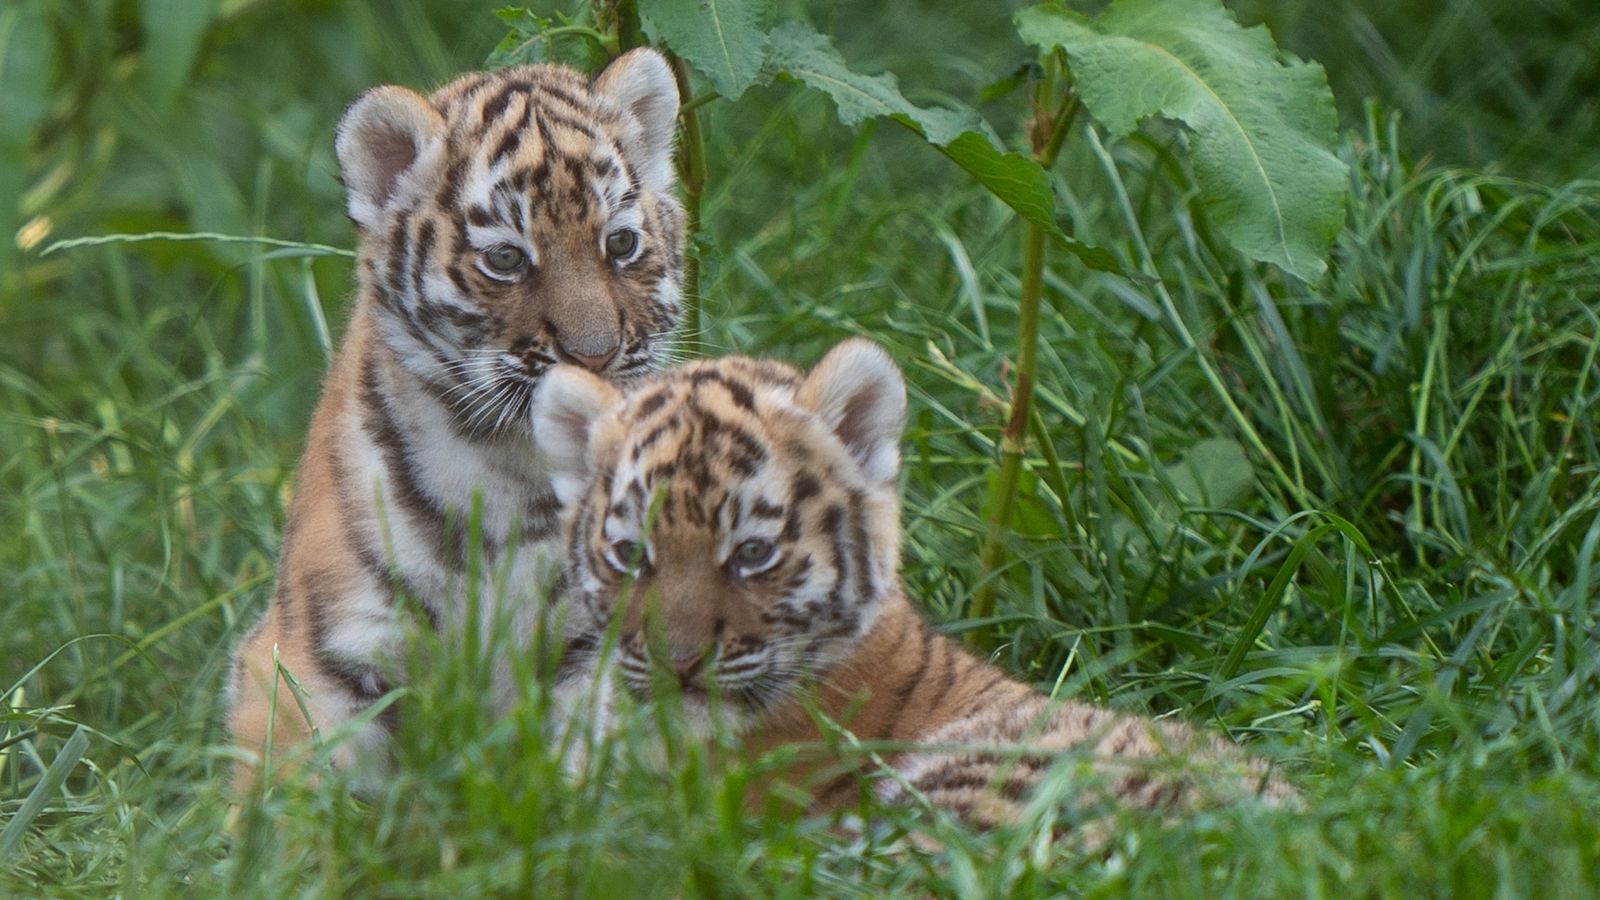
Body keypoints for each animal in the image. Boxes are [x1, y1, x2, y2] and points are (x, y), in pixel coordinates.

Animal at [225, 48, 684, 794]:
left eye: (619, 244)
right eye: (505, 258)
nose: (595, 356)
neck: (508, 462)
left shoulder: (600, 643)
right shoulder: (324, 656)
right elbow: (293, 797)